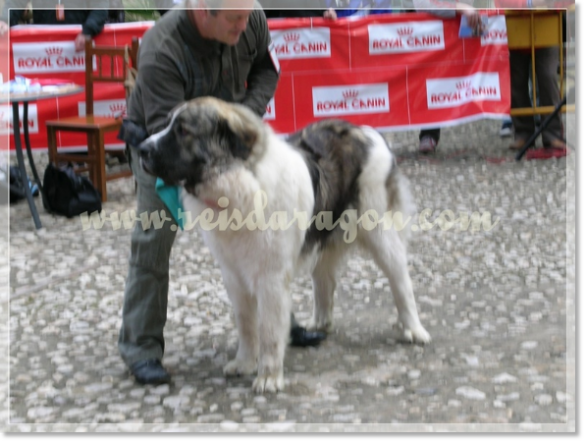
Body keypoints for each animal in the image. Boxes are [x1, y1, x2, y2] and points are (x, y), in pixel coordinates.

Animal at [137, 96, 428, 392]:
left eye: (183, 131)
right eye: (167, 125)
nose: (141, 149)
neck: (239, 183)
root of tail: (367, 132)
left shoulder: (271, 278)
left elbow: (268, 329)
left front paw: (268, 377)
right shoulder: (233, 275)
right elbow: (246, 324)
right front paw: (244, 363)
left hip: (380, 231)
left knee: (400, 280)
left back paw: (414, 329)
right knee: (324, 280)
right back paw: (320, 324)